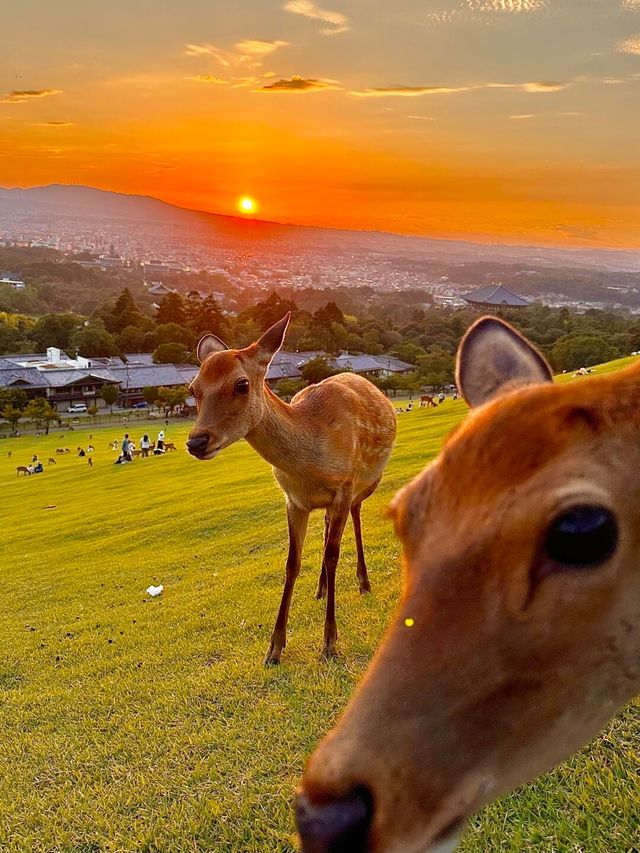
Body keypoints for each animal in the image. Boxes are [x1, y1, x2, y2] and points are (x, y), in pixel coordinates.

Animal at [185, 314, 396, 664]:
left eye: (241, 384)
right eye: (193, 388)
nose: (196, 441)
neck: (308, 467)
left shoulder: (344, 486)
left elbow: (333, 555)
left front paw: (329, 643)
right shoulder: (293, 500)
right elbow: (292, 563)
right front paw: (274, 648)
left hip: (366, 483)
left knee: (355, 516)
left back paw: (363, 582)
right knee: (327, 527)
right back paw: (320, 588)